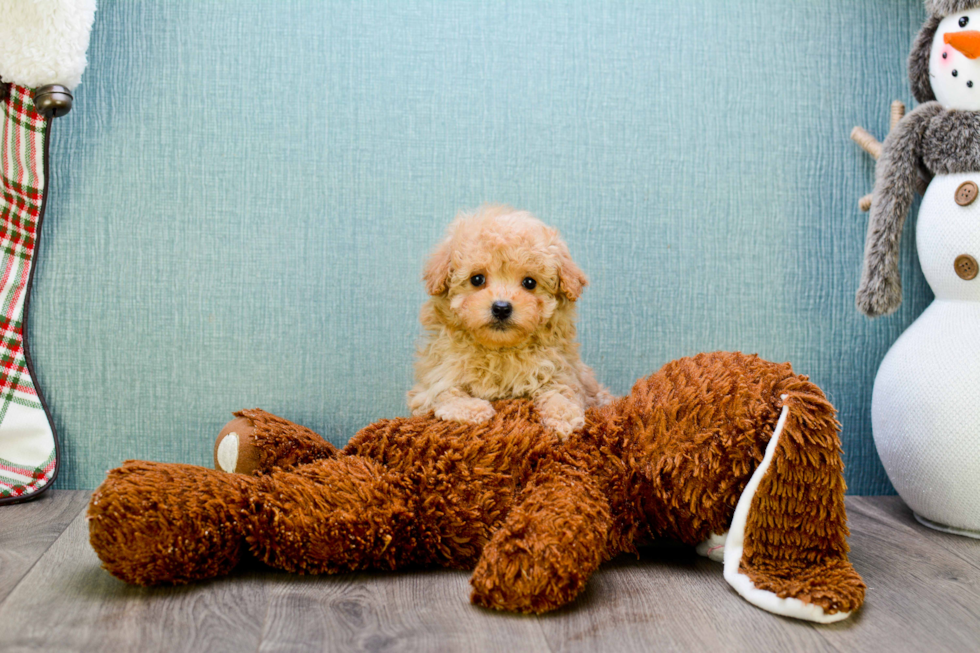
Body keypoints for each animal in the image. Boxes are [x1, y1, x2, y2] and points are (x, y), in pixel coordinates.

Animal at [410, 204, 616, 438]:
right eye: (477, 279)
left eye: (529, 283)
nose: (501, 308)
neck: (500, 350)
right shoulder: (431, 381)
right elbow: (444, 392)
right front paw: (474, 409)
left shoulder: (559, 370)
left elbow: (561, 391)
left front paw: (564, 417)